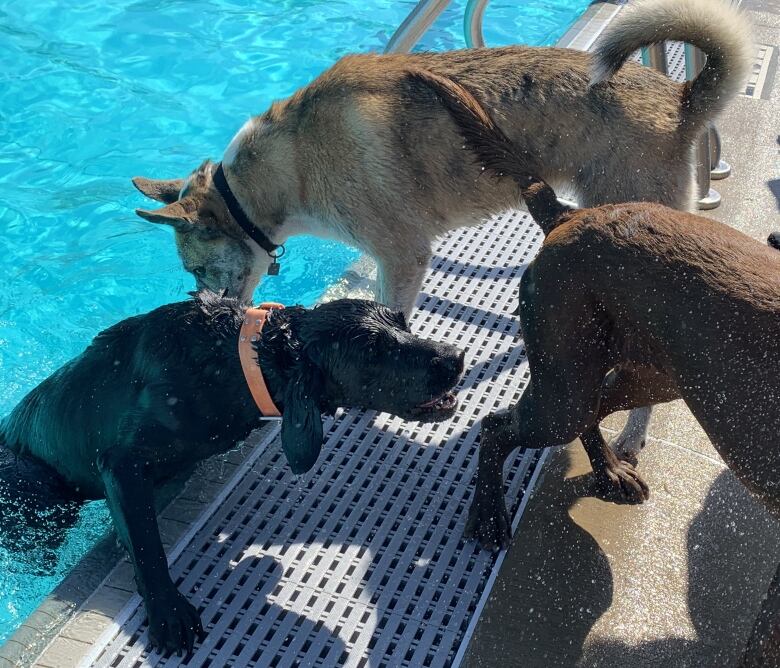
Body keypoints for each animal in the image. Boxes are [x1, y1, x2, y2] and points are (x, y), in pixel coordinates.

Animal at [0, 294, 464, 656]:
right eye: (372, 350)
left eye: (403, 322)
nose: (455, 357)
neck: (236, 365)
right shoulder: (122, 462)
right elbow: (147, 545)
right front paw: (167, 610)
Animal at [133, 0, 748, 316]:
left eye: (195, 269)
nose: (198, 306)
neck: (286, 164)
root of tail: (680, 96)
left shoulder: (402, 257)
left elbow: (393, 318)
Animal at [426, 64, 780, 668]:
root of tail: (570, 214)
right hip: (564, 389)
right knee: (496, 427)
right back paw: (490, 515)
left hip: (652, 377)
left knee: (590, 413)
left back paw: (610, 470)